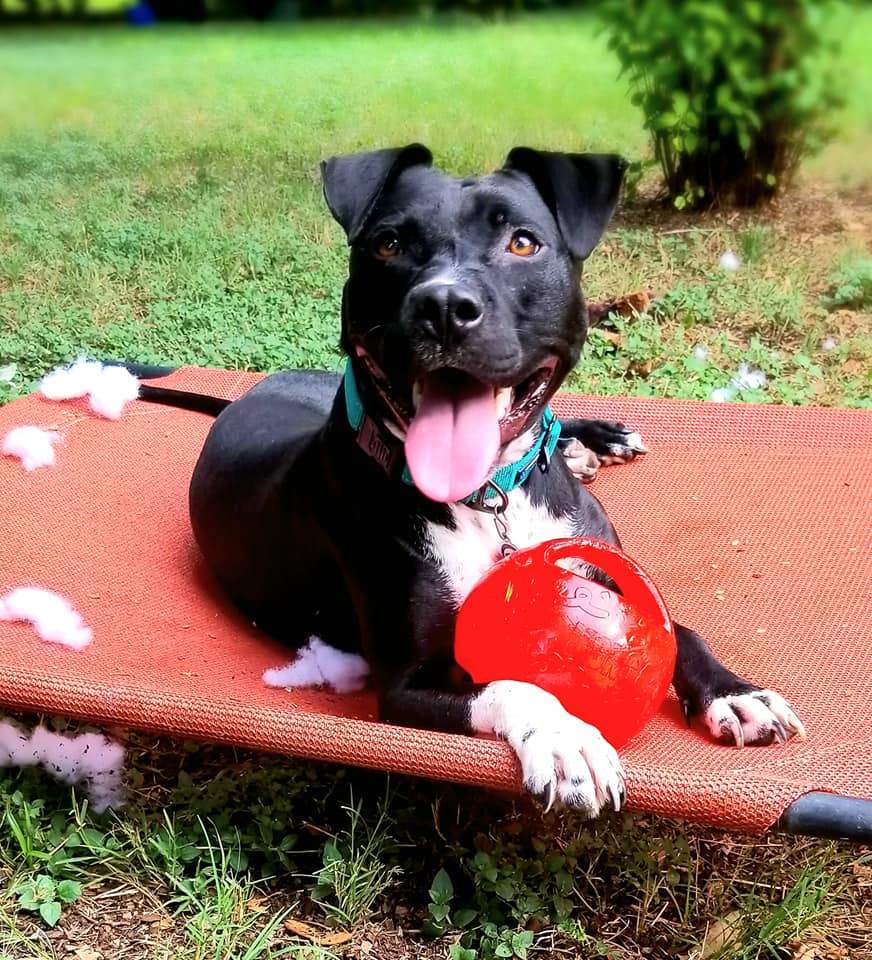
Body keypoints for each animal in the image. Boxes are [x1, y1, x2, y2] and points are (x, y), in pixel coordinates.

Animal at [141, 144, 804, 816]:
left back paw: (592, 441)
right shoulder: (406, 685)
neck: (490, 498)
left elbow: (680, 629)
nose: (443, 307)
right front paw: (566, 738)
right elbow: (513, 685)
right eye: (387, 244)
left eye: (522, 242)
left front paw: (732, 691)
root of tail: (248, 393)